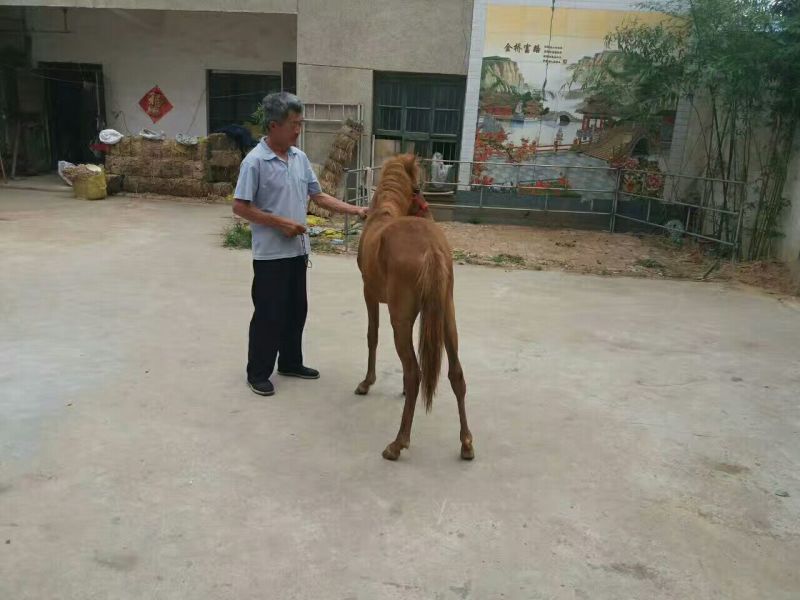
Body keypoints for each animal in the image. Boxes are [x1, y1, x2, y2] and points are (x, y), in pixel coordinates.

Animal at [355, 154, 474, 461]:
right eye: (418, 189)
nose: (428, 211)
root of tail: (431, 246)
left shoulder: (369, 294)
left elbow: (372, 336)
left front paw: (366, 383)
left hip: (400, 319)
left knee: (414, 373)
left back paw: (397, 444)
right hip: (447, 318)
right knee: (456, 374)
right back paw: (466, 444)